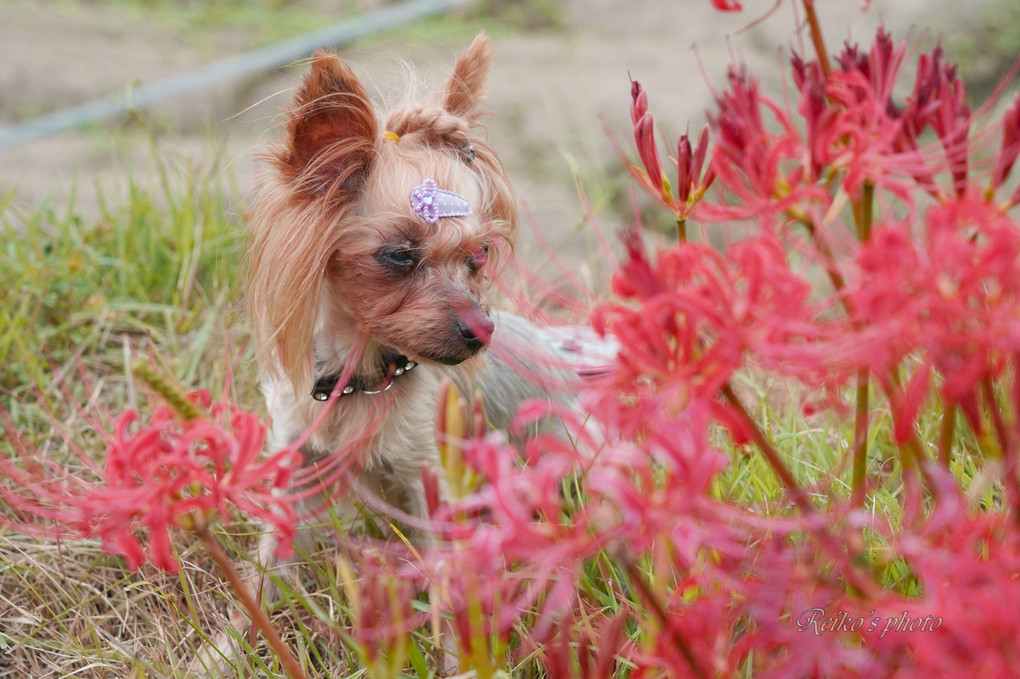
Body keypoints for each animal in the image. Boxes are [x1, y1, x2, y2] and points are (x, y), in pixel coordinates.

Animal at [243, 33, 599, 566]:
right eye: (398, 255)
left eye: (481, 254)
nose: (482, 331)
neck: (361, 379)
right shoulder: (297, 458)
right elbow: (273, 557)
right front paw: (262, 590)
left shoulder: (427, 476)